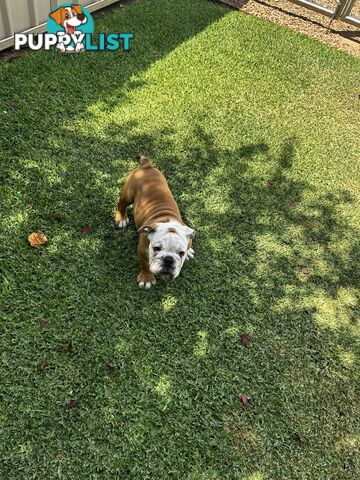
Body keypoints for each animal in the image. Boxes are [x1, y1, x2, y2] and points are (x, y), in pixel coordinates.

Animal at [114, 157, 194, 288]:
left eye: (181, 253)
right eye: (156, 248)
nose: (168, 260)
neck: (167, 221)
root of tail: (147, 166)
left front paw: (189, 252)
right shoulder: (143, 250)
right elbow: (145, 264)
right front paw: (146, 279)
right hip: (128, 193)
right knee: (121, 203)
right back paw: (121, 218)